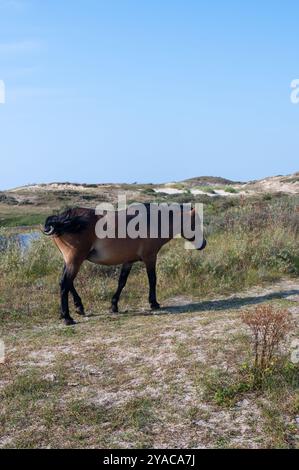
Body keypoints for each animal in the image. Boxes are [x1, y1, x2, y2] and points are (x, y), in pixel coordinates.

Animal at [43, 204, 206, 324]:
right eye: (195, 223)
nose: (203, 244)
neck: (152, 221)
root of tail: (62, 219)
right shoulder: (150, 258)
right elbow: (152, 280)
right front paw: (153, 303)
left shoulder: (128, 261)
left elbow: (121, 282)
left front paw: (114, 305)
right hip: (75, 260)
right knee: (65, 283)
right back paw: (67, 317)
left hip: (71, 261)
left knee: (66, 282)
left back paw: (78, 307)